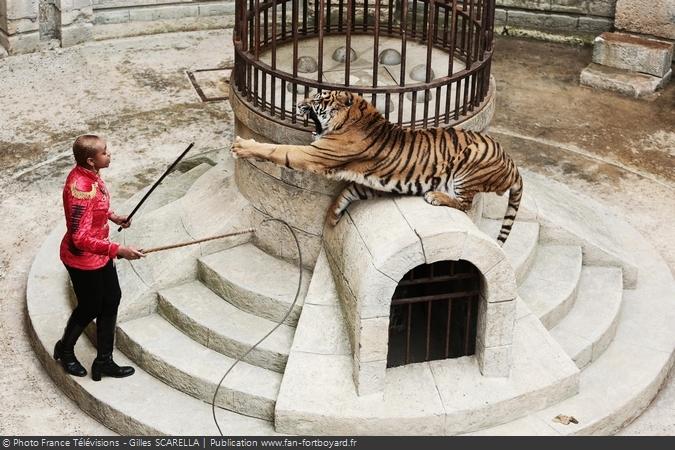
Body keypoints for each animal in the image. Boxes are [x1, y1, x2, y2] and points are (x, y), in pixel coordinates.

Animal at [232, 89, 524, 244]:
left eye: (317, 99)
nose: (297, 103)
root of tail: (512, 163)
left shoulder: (315, 155)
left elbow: (279, 150)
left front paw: (241, 146)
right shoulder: (374, 183)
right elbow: (345, 193)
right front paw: (332, 221)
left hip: (470, 165)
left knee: (465, 203)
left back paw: (436, 196)